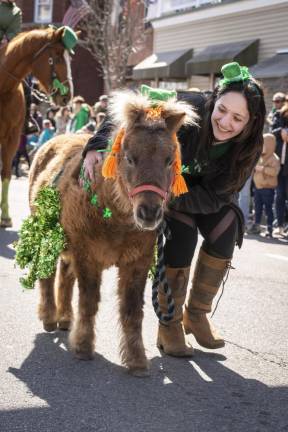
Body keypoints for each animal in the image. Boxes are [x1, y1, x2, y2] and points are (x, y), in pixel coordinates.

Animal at [0, 26, 76, 230]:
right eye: (57, 56)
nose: (67, 96)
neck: (4, 88)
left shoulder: (12, 138)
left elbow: (6, 173)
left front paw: (5, 216)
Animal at [29, 92, 198, 378]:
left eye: (169, 159)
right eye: (129, 157)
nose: (149, 212)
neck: (114, 216)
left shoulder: (137, 261)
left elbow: (132, 311)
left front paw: (137, 360)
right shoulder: (87, 256)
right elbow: (89, 302)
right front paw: (83, 347)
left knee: (64, 276)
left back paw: (65, 318)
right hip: (46, 235)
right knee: (47, 274)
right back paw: (50, 317)